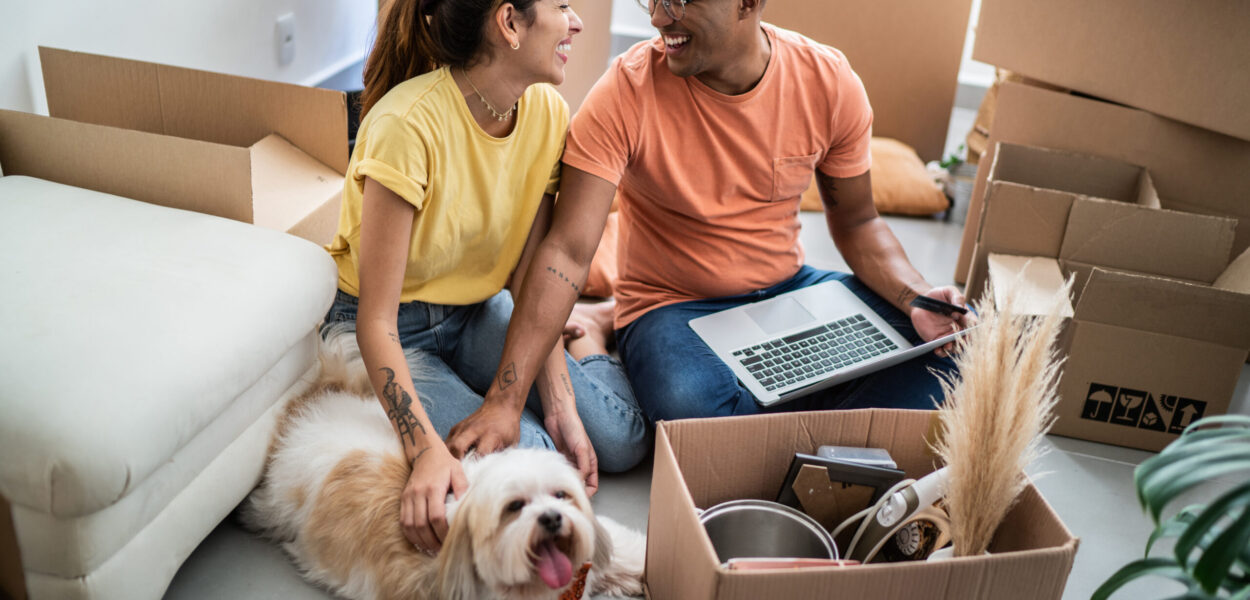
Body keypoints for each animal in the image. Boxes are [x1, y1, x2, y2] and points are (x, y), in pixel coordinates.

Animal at [247, 330, 650, 600]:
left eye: (561, 495)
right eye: (514, 508)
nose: (552, 518)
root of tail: (321, 400)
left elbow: (627, 550)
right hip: (279, 503)